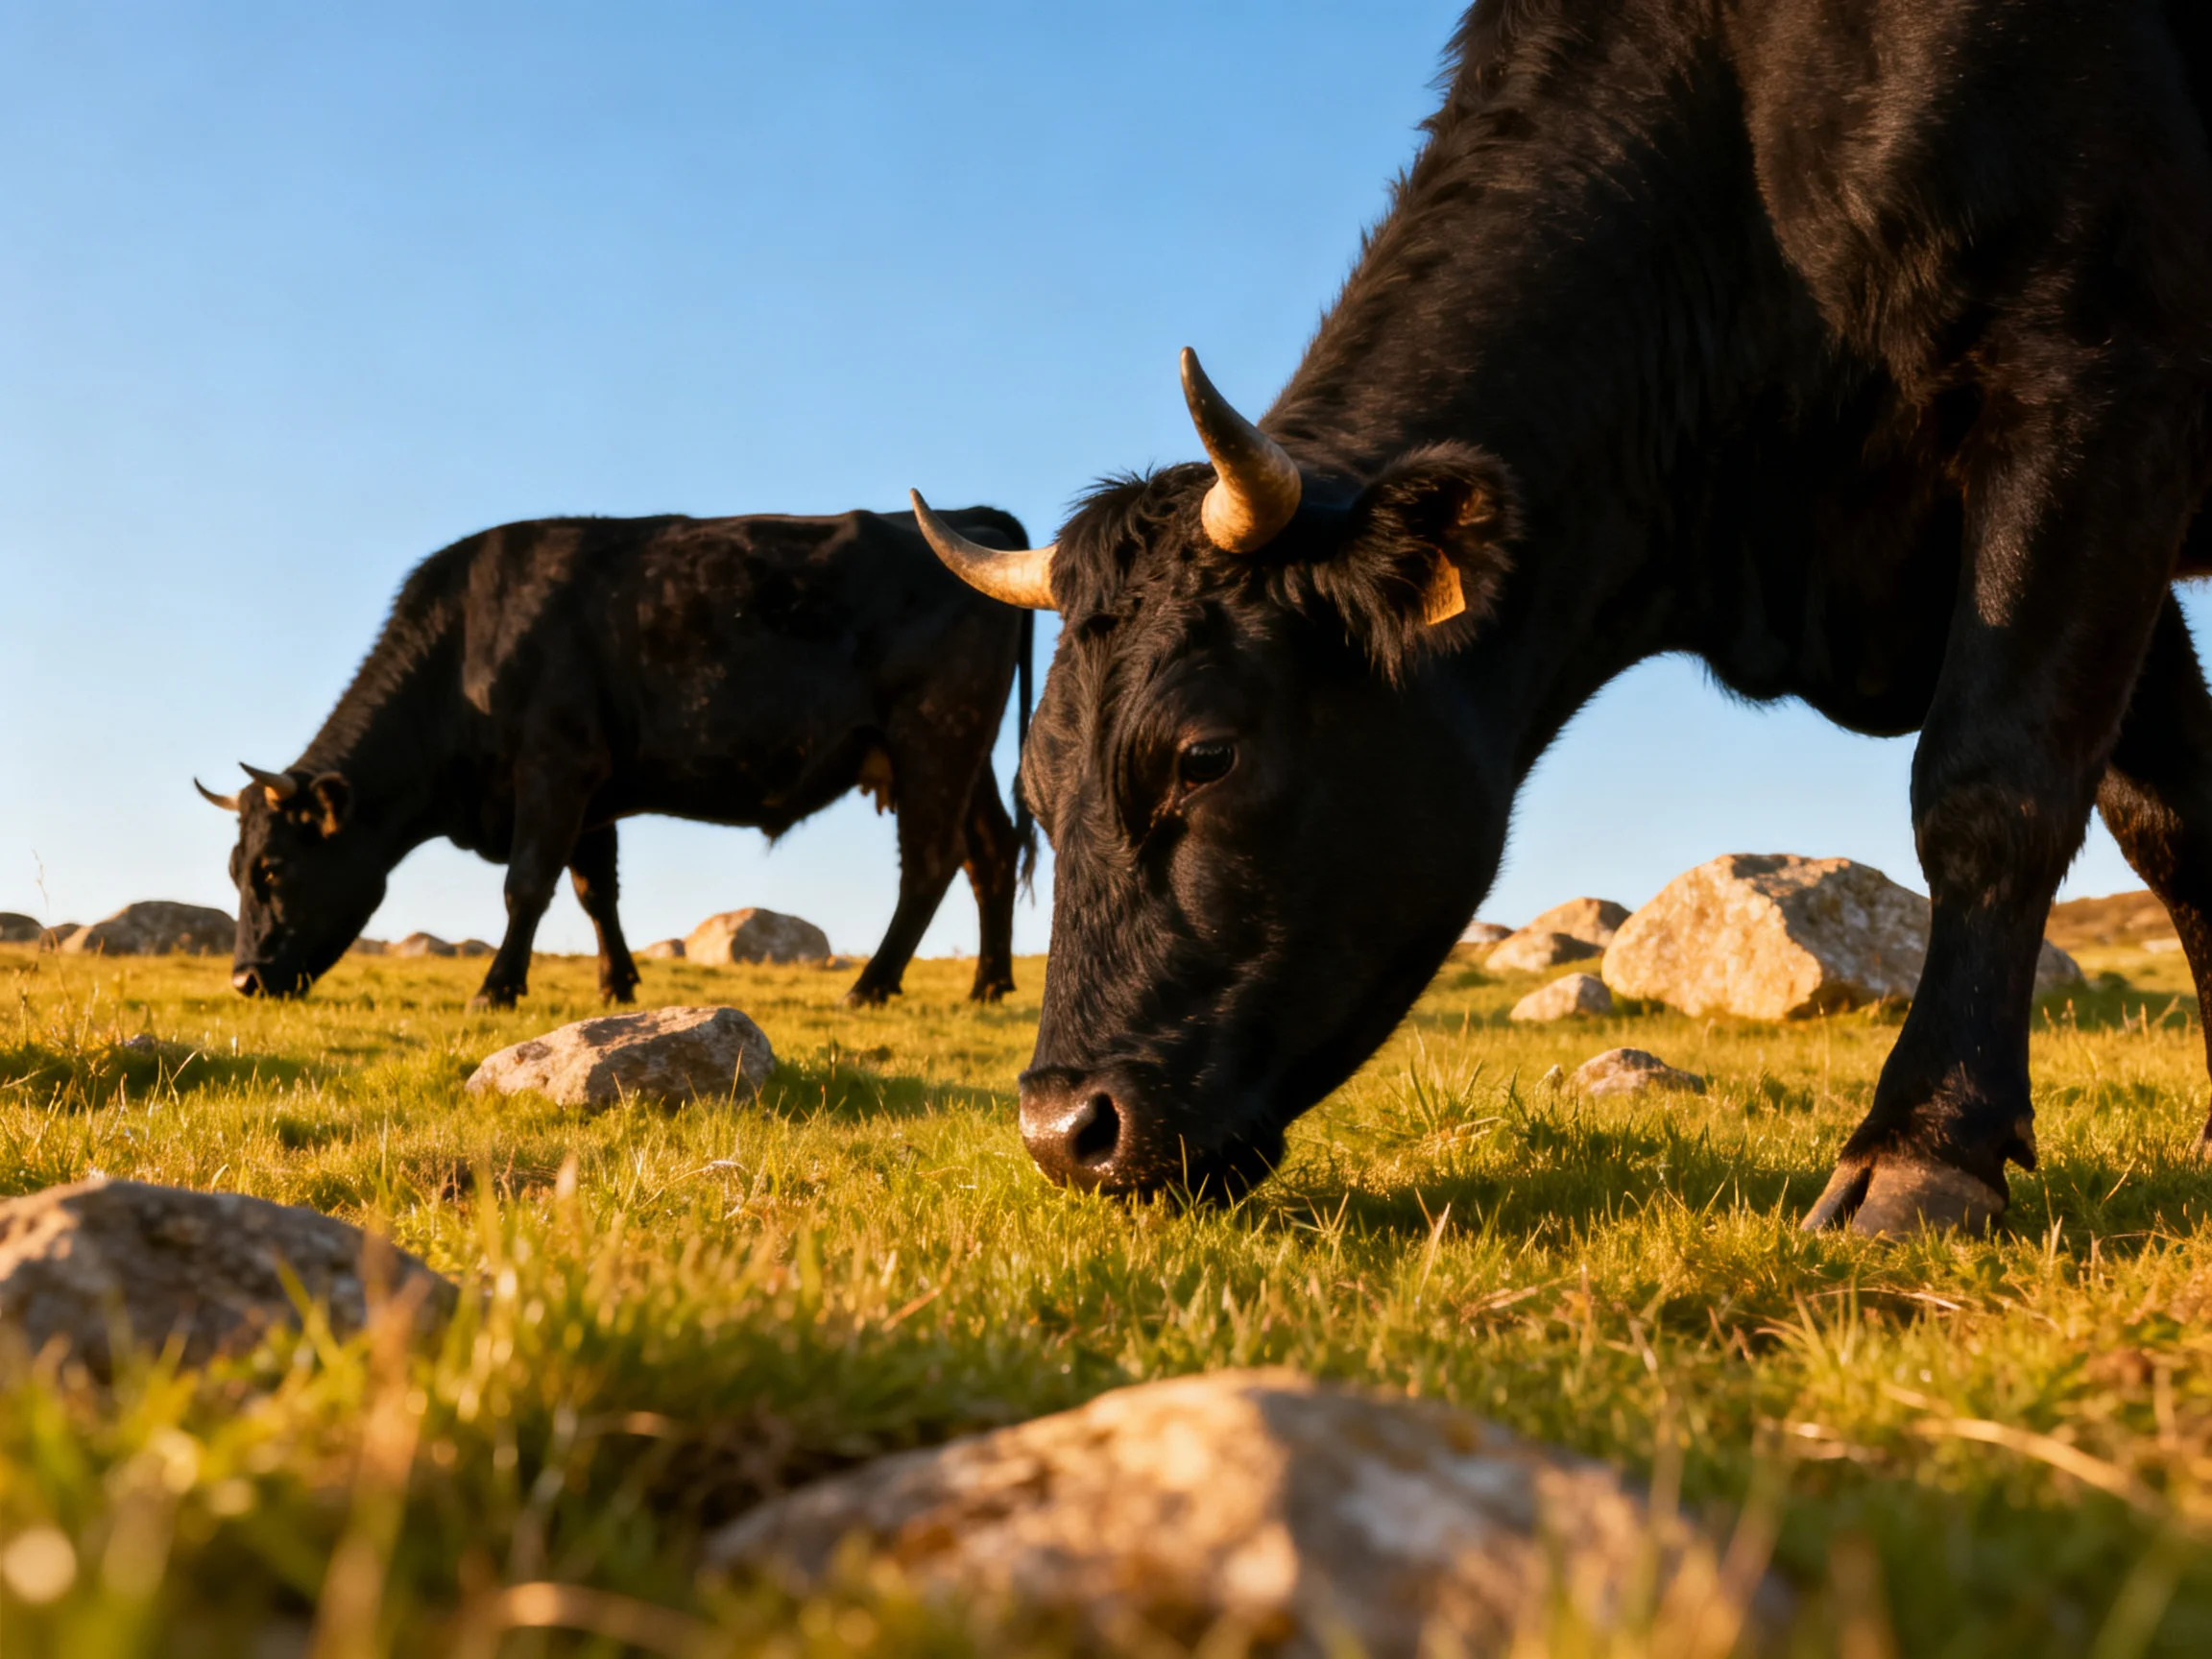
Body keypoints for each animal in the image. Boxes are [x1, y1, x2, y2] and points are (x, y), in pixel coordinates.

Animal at [198, 508, 1034, 1010]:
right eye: (234, 870)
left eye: (272, 869)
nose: (243, 980)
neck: (467, 647)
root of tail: (975, 518)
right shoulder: (591, 794)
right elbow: (596, 892)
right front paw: (618, 985)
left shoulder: (554, 766)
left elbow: (527, 886)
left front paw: (496, 989)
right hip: (964, 757)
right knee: (989, 854)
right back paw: (988, 985)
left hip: (935, 738)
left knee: (928, 864)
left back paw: (871, 985)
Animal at [913, 0, 2212, 1235]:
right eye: (1035, 788)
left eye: (1204, 755)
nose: (1062, 1128)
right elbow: (2173, 821)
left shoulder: (2090, 396)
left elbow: (1990, 791)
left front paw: (1923, 1150)